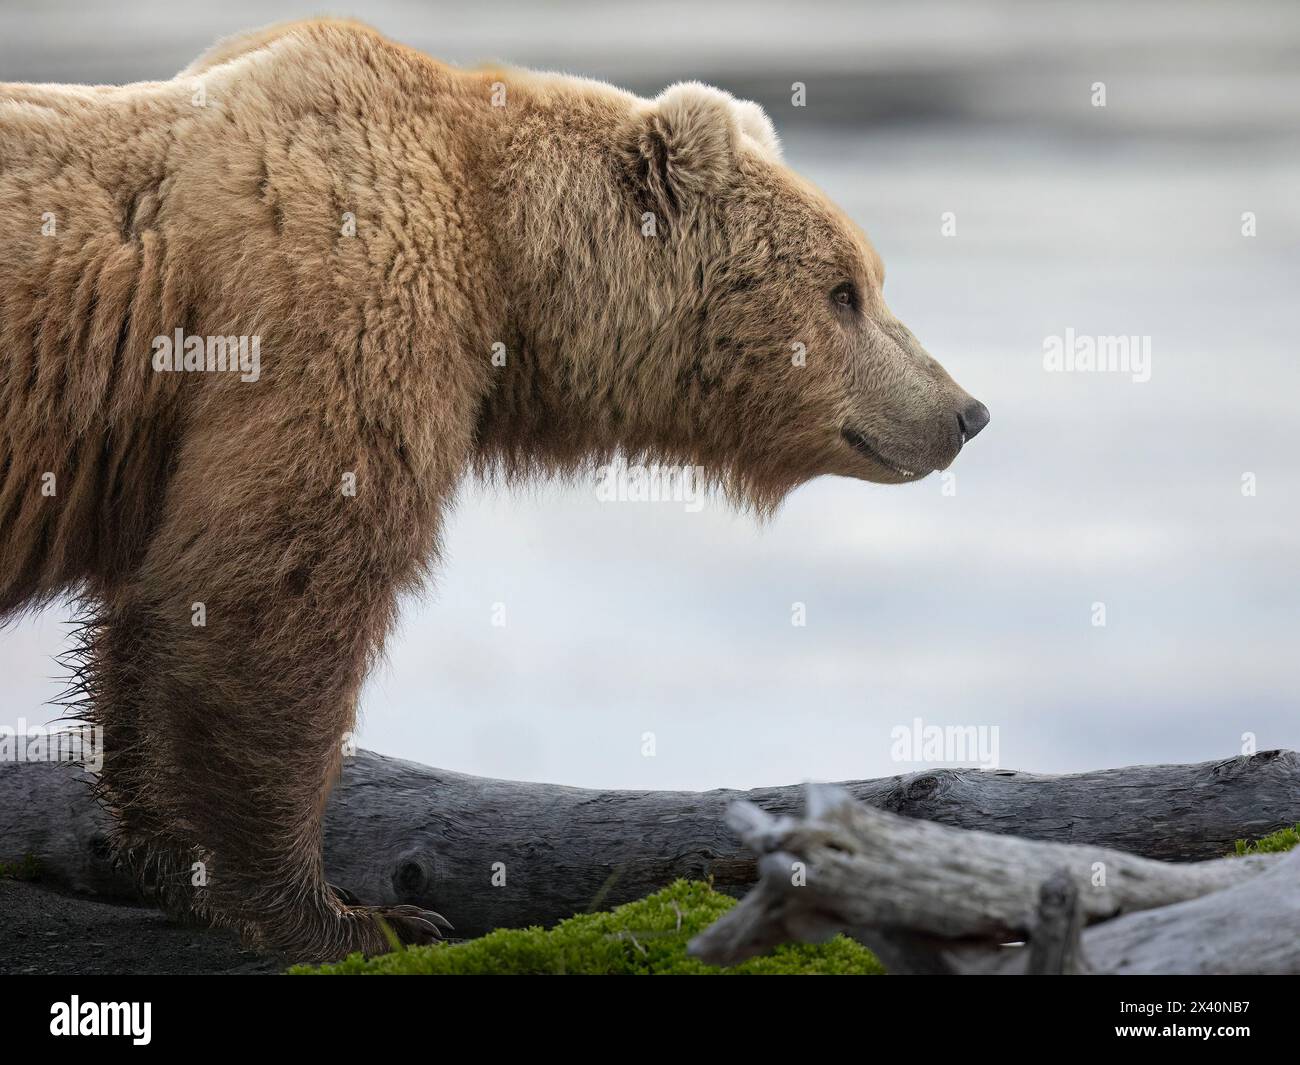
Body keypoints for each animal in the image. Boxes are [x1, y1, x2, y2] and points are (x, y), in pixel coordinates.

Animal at [0, 20, 982, 962]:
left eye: (871, 280)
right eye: (844, 291)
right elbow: (271, 592)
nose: (964, 410)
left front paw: (173, 862)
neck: (507, 269)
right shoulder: (335, 311)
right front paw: (350, 914)